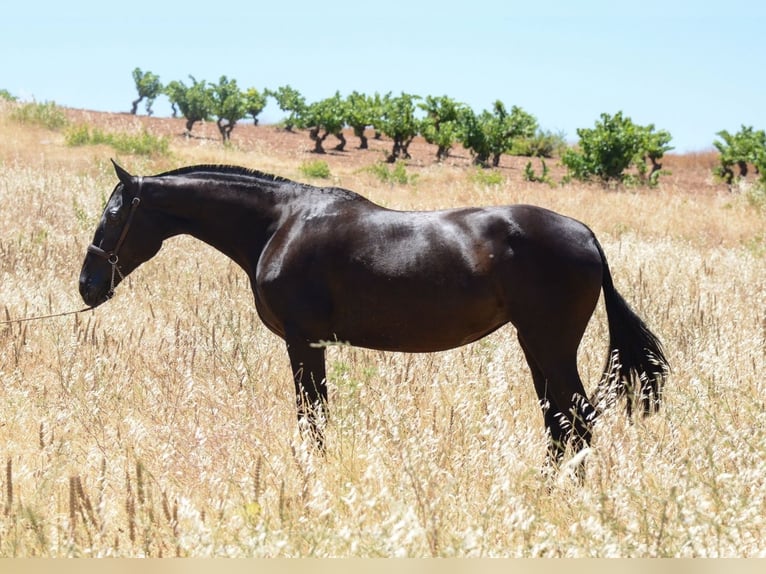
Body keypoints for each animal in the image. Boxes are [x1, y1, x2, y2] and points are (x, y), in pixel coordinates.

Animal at [81, 162, 672, 476]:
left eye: (113, 215)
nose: (86, 285)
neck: (281, 224)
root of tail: (586, 235)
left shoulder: (304, 343)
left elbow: (312, 416)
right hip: (536, 347)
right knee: (560, 422)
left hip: (550, 345)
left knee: (580, 420)